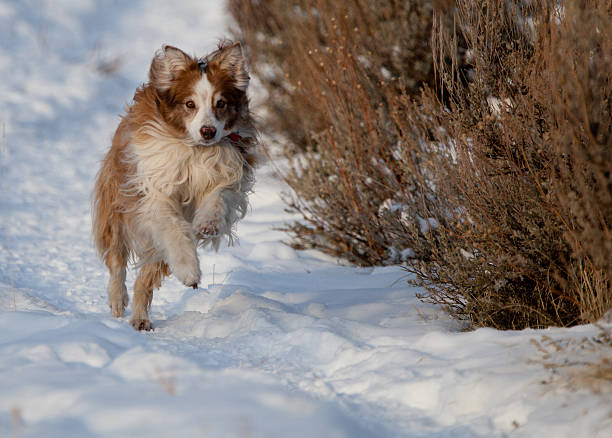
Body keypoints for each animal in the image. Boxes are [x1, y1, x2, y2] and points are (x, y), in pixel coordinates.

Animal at [91, 42, 256, 330]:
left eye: (221, 103)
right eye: (190, 104)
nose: (208, 131)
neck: (196, 150)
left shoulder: (228, 172)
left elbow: (219, 196)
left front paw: (208, 224)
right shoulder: (154, 191)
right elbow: (173, 229)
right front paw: (190, 270)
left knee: (145, 279)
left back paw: (140, 319)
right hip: (116, 204)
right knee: (117, 259)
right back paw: (117, 300)